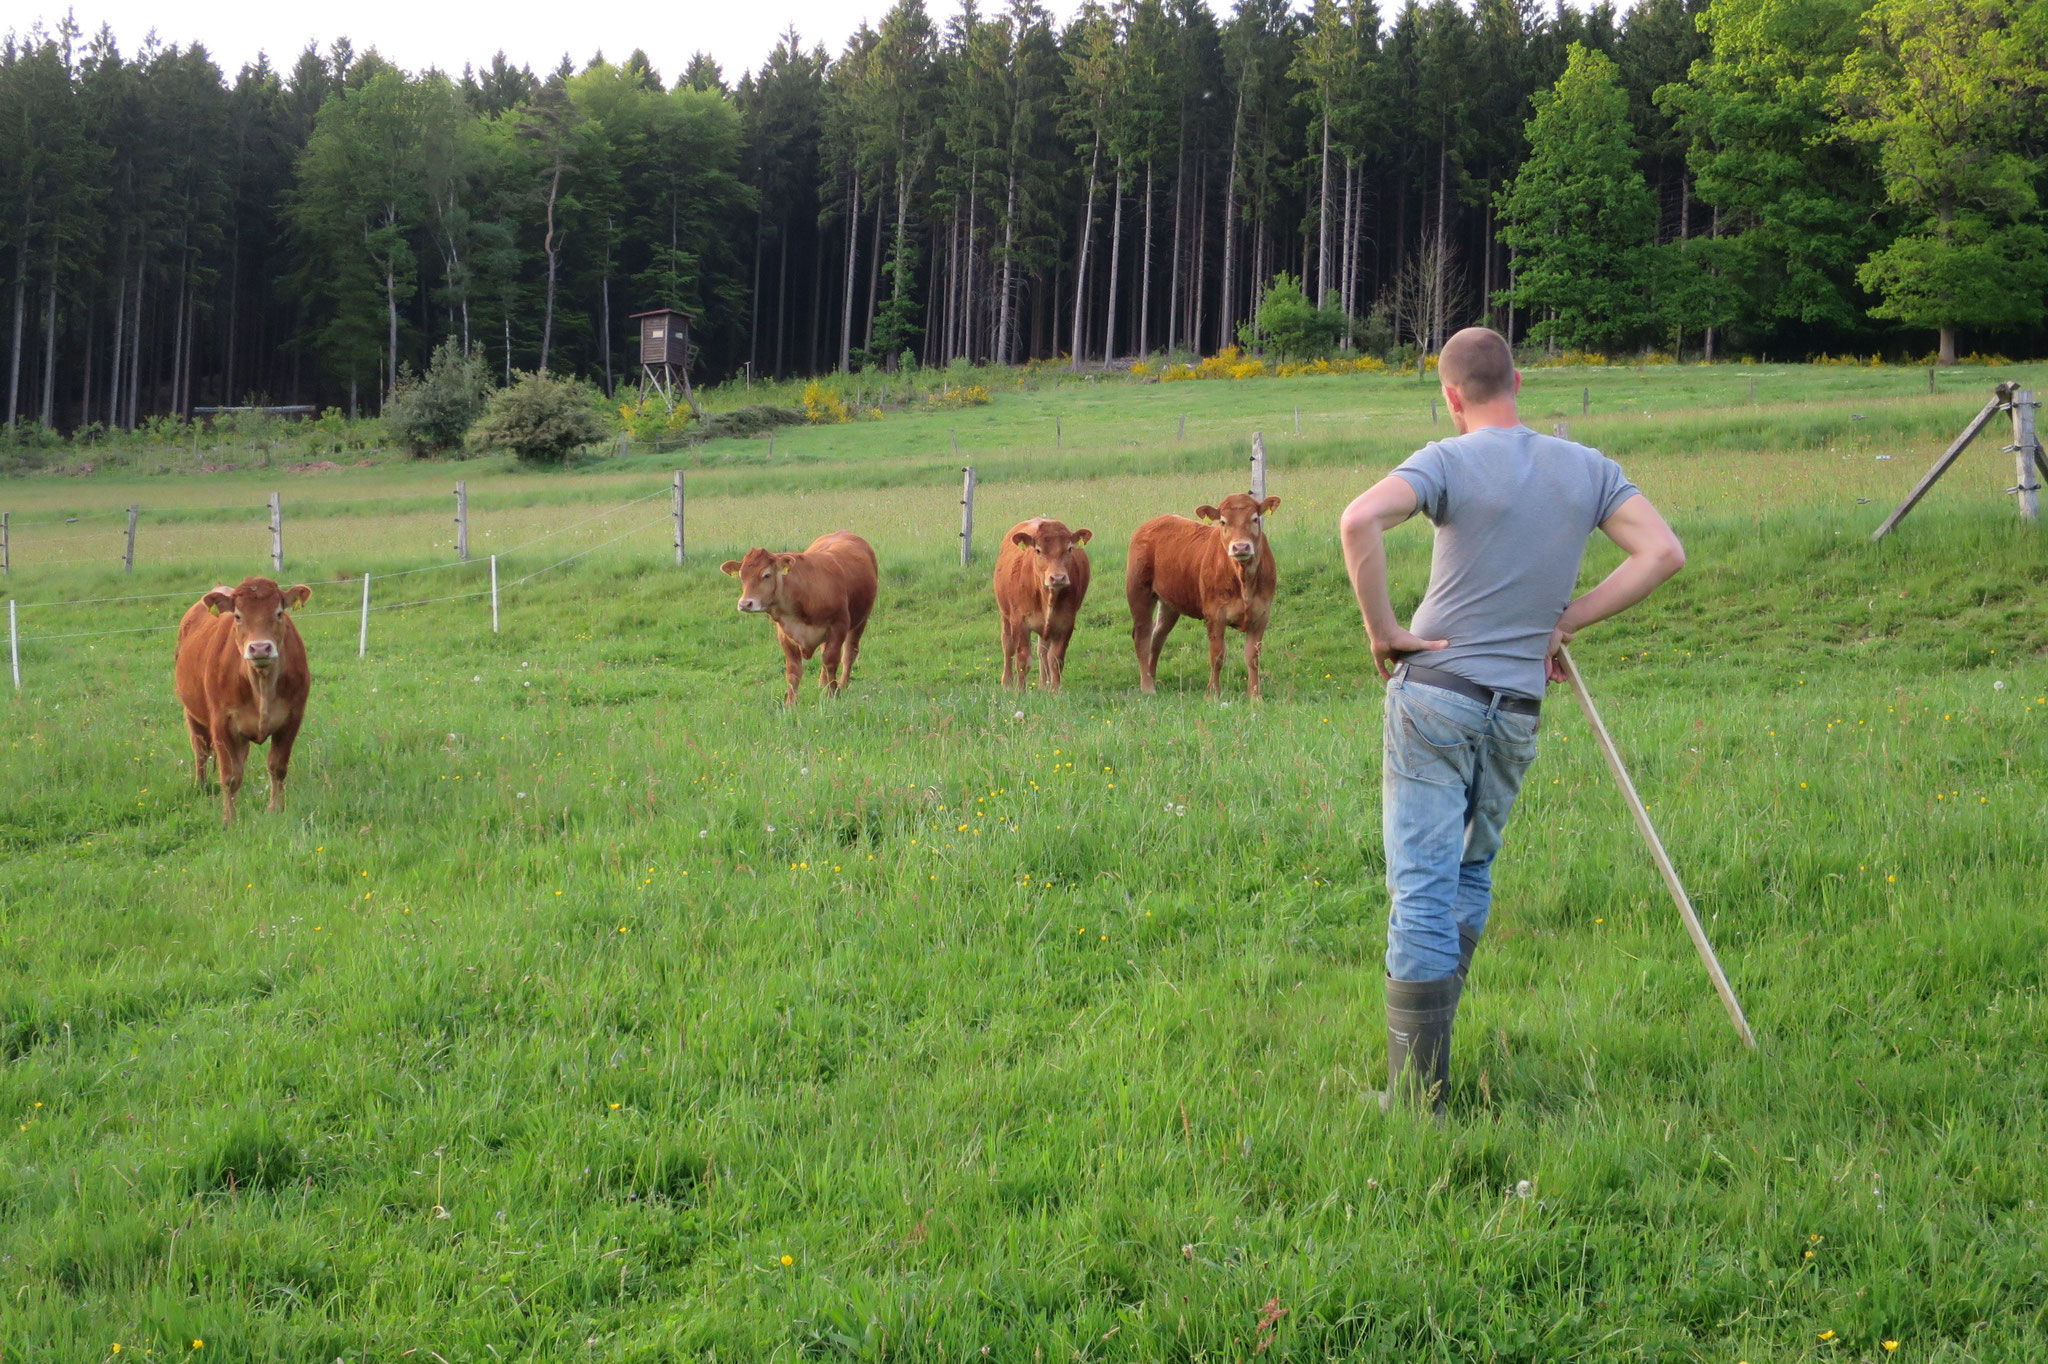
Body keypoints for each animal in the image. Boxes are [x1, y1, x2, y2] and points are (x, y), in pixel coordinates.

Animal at [174, 569, 313, 823]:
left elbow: (277, 767)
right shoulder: (221, 723)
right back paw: (200, 786)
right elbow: (230, 776)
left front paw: (275, 809)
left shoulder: (292, 718)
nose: (259, 648)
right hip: (192, 714)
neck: (262, 684)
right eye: (238, 616)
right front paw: (229, 820)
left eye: (279, 613)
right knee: (201, 751)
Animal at [720, 528, 880, 700]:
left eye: (767, 575)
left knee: (850, 653)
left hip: (861, 620)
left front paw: (832, 694)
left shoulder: (838, 626)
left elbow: (831, 662)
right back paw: (822, 682)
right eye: (741, 576)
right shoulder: (785, 635)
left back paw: (843, 684)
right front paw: (791, 702)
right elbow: (793, 671)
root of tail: (843, 532)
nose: (745, 604)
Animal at [987, 512, 1089, 692]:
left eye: (1069, 548)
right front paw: (1020, 691)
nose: (1058, 577)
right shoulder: (1019, 622)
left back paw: (1042, 685)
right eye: (1038, 550)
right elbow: (1022, 660)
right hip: (1005, 614)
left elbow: (1055, 659)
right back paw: (1007, 683)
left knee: (1042, 651)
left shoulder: (1066, 623)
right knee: (1008, 645)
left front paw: (1055, 691)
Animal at [1130, 489, 1269, 696]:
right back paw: (1147, 687)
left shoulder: (1261, 615)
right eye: (1223, 521)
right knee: (1142, 637)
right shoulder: (1215, 614)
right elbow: (1217, 655)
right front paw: (1213, 694)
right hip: (1139, 592)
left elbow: (1253, 657)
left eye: (1255, 518)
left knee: (1157, 636)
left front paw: (1255, 696)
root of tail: (1153, 522)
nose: (1240, 547)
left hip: (1169, 603)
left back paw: (1151, 677)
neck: (1244, 580)